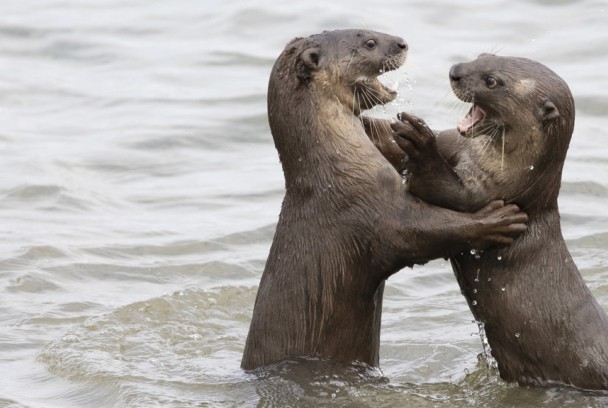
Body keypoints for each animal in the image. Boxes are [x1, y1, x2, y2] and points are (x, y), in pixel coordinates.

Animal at [242, 33, 528, 372]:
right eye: (369, 42)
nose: (402, 43)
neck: (335, 169)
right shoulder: (373, 211)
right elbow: (427, 233)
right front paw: (499, 220)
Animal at [378, 53, 608, 388]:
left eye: (491, 81)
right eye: (484, 56)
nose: (455, 71)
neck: (515, 179)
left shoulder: (488, 193)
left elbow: (443, 189)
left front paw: (419, 143)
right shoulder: (456, 145)